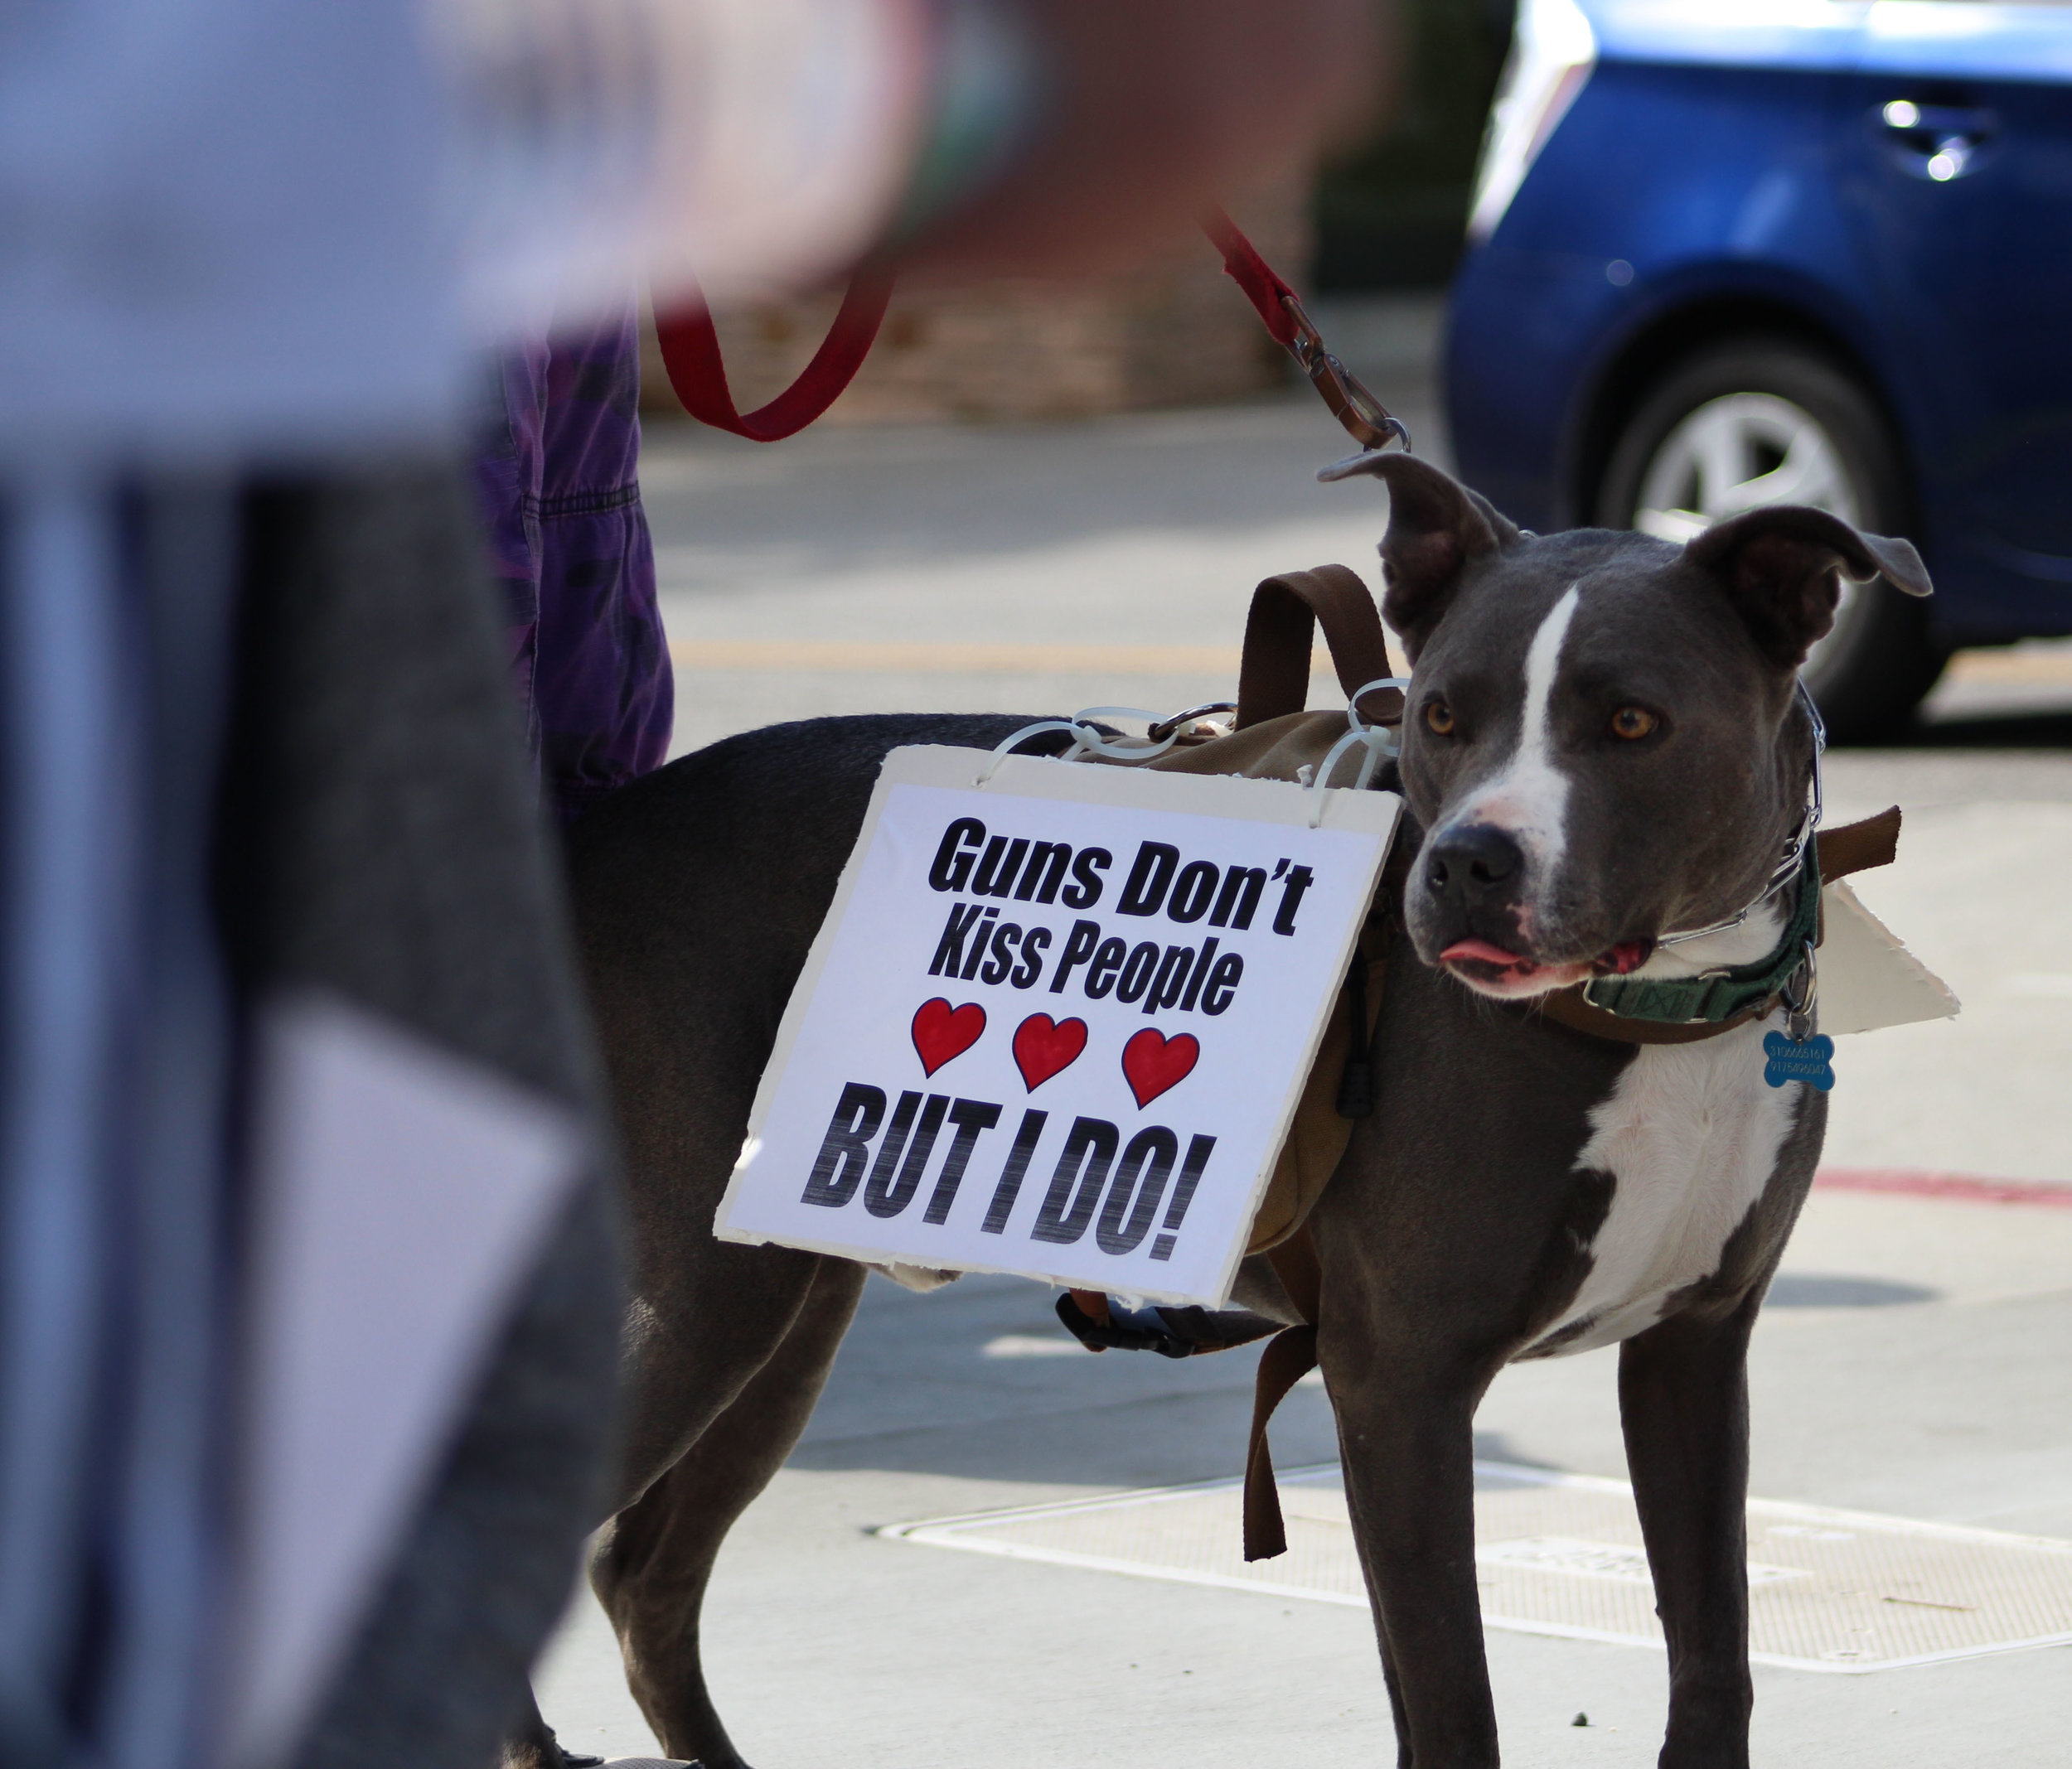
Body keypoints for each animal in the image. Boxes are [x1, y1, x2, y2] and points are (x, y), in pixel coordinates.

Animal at [530, 453, 1923, 1769]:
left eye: (1633, 719)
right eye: (1442, 714)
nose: (1468, 862)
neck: (1652, 1006)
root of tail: (590, 834)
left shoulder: (1691, 1353)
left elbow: (1709, 1654)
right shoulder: (1402, 1381)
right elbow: (1453, 1701)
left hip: (787, 1302)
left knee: (642, 1568)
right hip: (708, 1292)